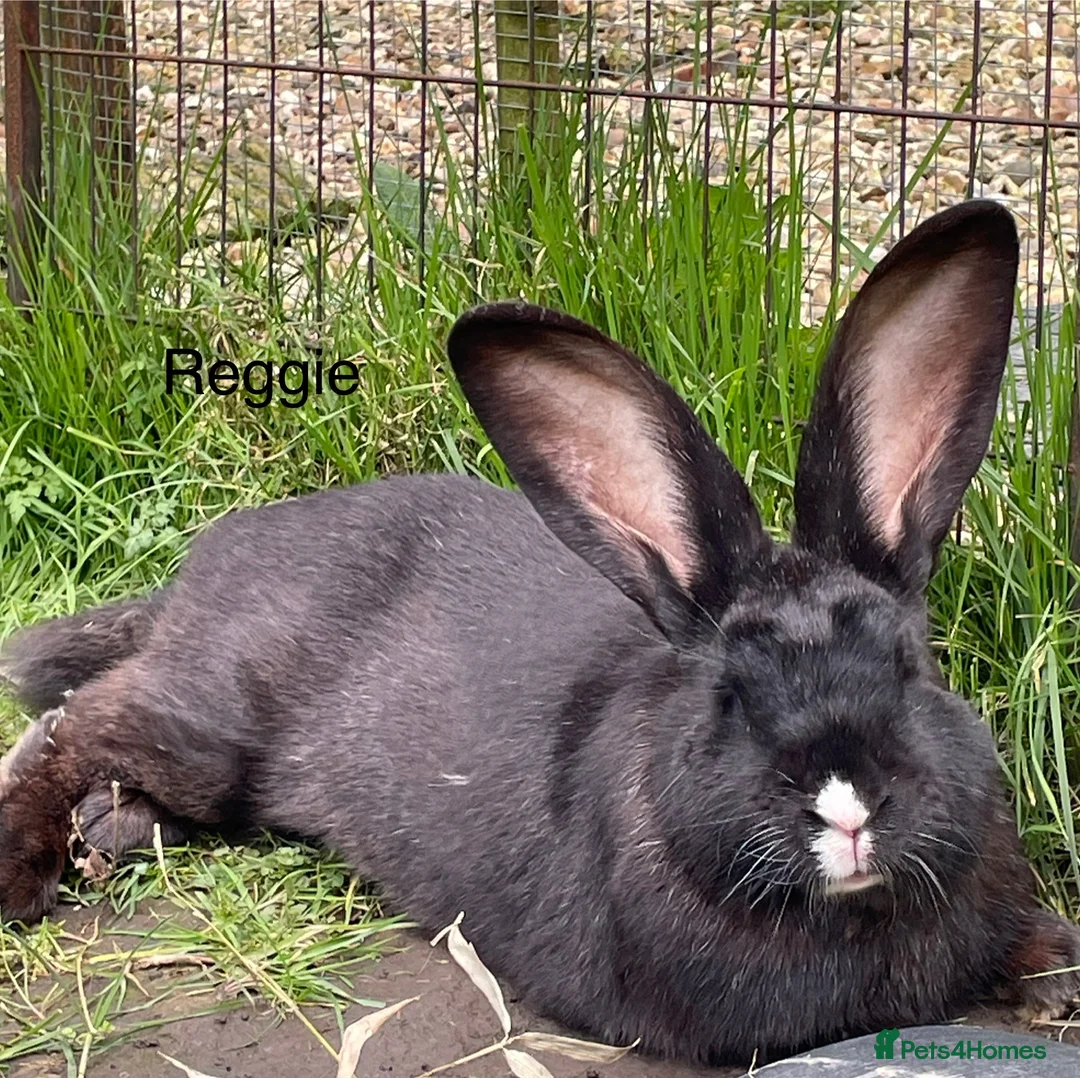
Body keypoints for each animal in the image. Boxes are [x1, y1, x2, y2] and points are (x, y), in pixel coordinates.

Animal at [1, 199, 1079, 1065]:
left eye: (909, 668)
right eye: (729, 696)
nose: (847, 807)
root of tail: (208, 561)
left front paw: (1060, 971)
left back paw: (116, 830)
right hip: (216, 722)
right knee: (74, 720)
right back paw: (27, 870)